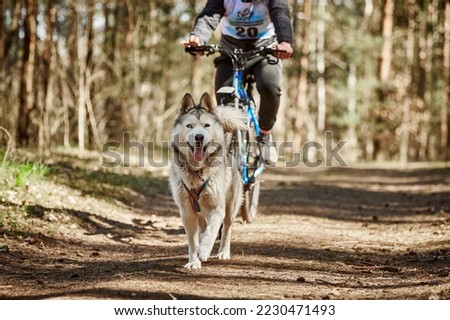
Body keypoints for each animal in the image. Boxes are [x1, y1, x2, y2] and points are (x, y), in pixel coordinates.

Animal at [170, 93, 246, 270]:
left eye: (206, 125)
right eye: (189, 126)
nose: (199, 136)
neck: (197, 171)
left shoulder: (217, 209)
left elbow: (212, 231)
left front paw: (204, 251)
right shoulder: (187, 213)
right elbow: (192, 241)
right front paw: (193, 261)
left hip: (230, 208)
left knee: (226, 229)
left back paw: (223, 252)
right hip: (200, 212)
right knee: (203, 227)